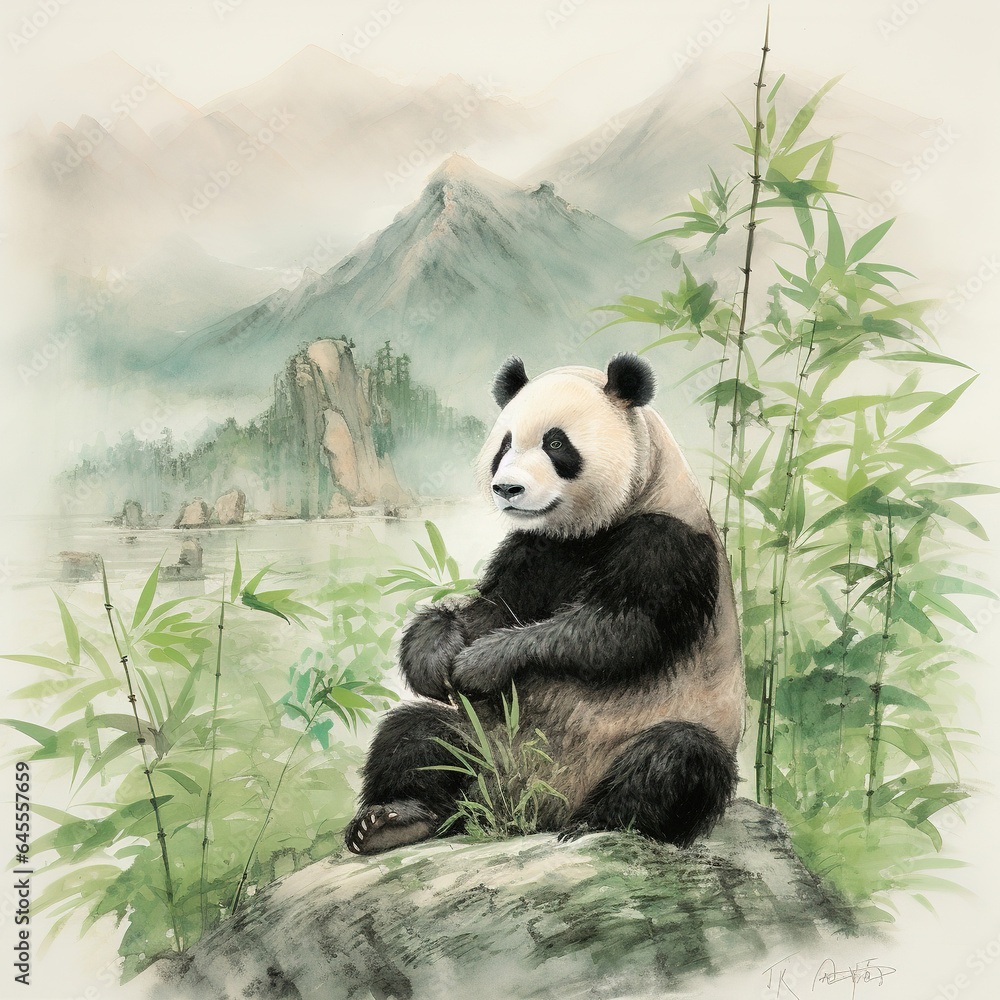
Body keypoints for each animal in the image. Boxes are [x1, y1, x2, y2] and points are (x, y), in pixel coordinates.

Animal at [345, 353, 744, 854]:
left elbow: (620, 631)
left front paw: (481, 663)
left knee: (676, 761)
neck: (592, 529)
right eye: (505, 444)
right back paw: (393, 820)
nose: (507, 488)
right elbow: (490, 610)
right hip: (485, 743)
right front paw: (433, 655)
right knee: (418, 737)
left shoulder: (670, 544)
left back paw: (600, 822)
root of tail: (524, 810)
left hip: (638, 740)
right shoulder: (538, 549)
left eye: (556, 443)